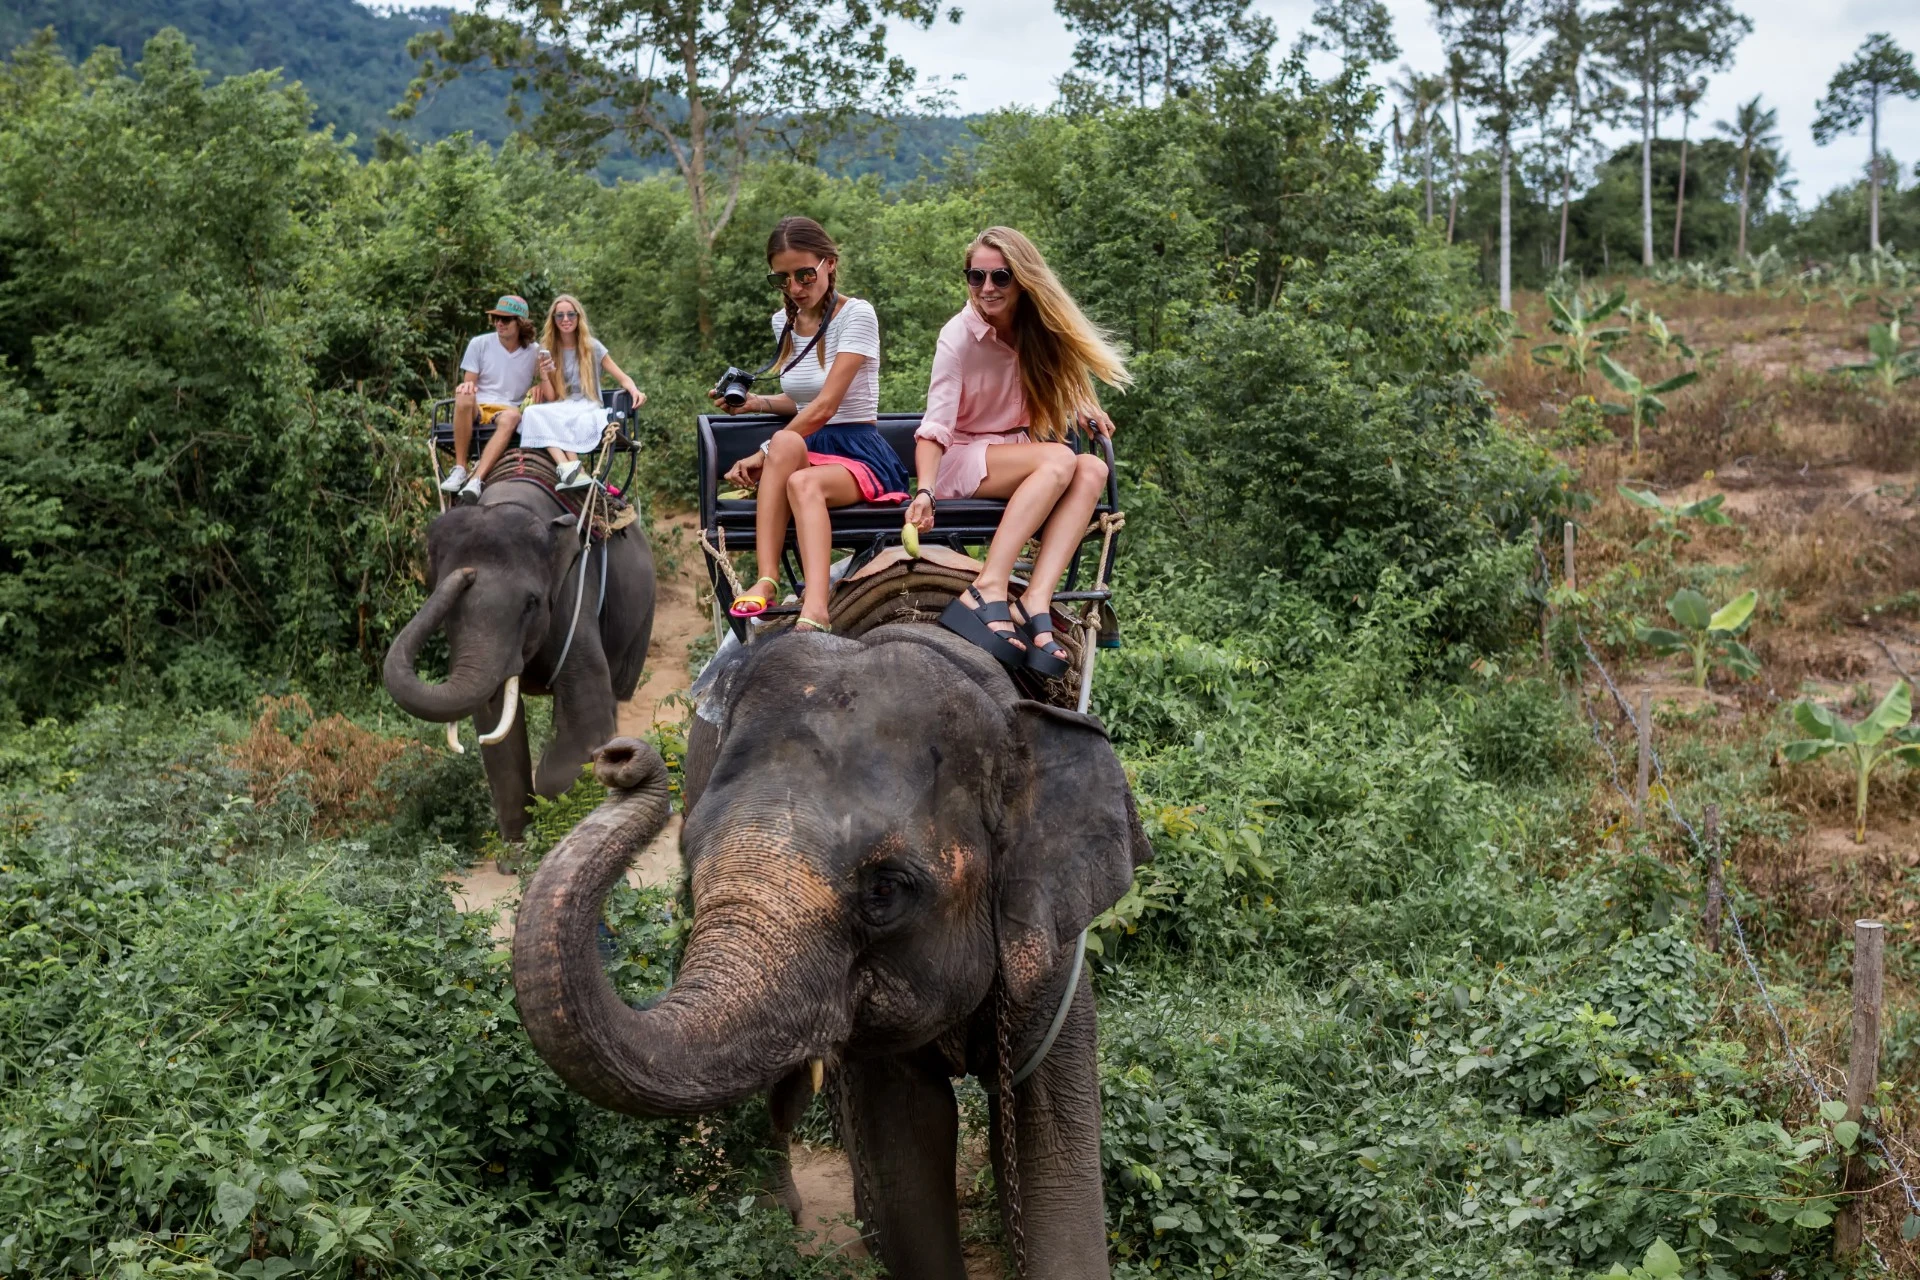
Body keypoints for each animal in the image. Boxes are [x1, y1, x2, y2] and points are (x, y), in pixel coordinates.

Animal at [383, 473, 656, 843]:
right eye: (447, 610)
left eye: (531, 603)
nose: (465, 574)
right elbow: (495, 728)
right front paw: (517, 846)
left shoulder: (573, 595)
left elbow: (585, 717)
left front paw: (559, 819)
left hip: (641, 618)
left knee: (618, 690)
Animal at [511, 624, 1151, 1279]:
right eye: (689, 859)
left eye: (886, 889)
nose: (618, 758)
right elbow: (907, 1141)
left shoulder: (1054, 939)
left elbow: (1051, 1134)